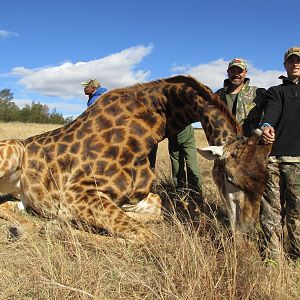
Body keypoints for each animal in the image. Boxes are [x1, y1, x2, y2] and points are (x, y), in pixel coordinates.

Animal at [0, 75, 270, 241]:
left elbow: (156, 210)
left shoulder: (134, 196)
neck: (151, 128)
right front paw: (57, 225)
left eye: (265, 183)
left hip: (19, 193)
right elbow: (143, 235)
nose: (248, 233)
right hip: (13, 150)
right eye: (230, 178)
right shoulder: (76, 194)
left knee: (7, 205)